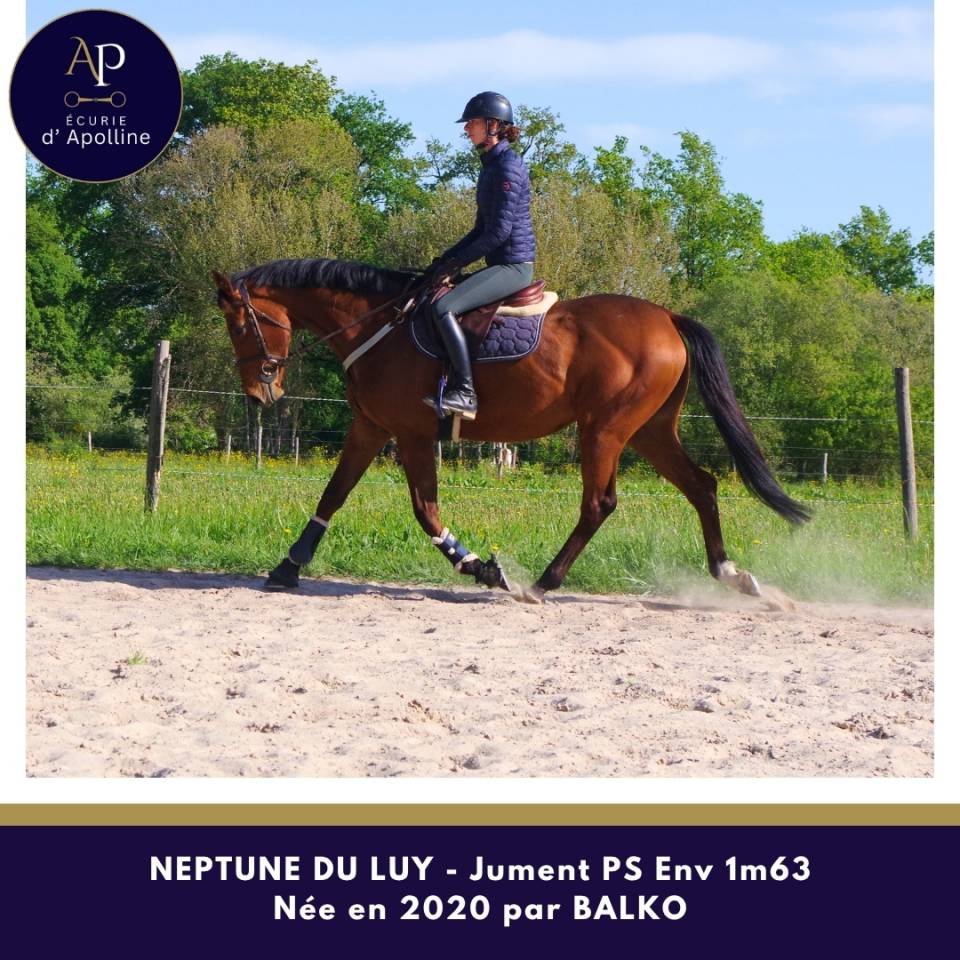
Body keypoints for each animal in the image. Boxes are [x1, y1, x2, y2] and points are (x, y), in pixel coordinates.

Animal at [213, 258, 809, 602]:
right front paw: (287, 566)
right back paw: (732, 574)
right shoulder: (370, 427)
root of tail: (667, 318)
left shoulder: (411, 434)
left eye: (240, 324)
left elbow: (425, 511)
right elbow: (332, 496)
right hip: (650, 432)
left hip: (605, 431)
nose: (261, 393)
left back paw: (543, 583)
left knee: (600, 504)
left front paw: (481, 568)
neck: (380, 325)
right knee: (702, 486)